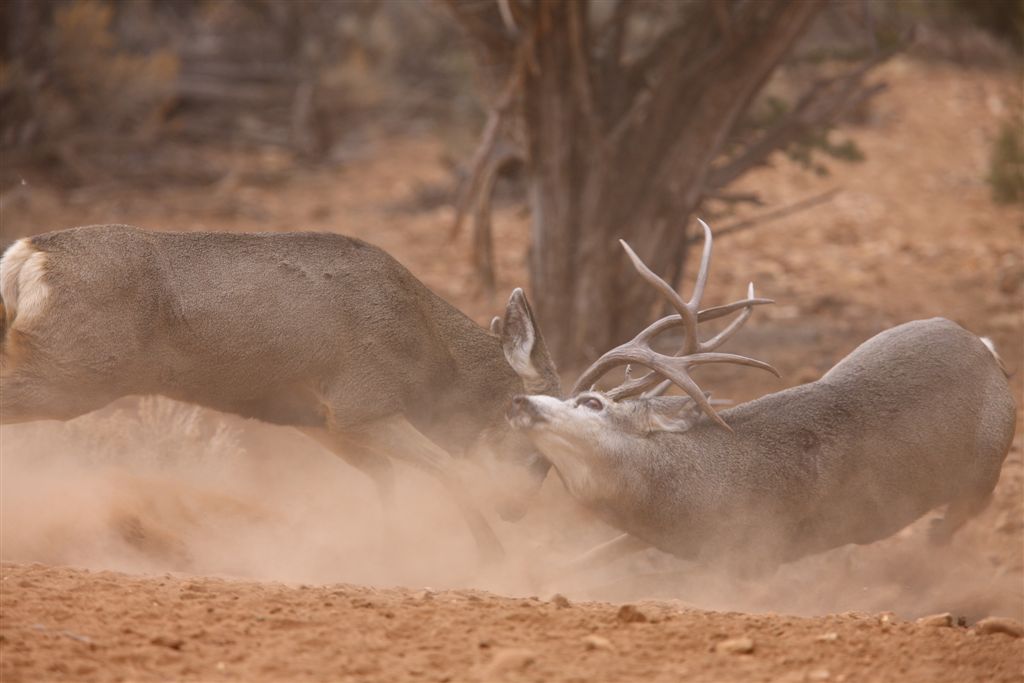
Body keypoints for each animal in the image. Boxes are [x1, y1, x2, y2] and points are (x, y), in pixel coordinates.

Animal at [0, 224, 561, 561]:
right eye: (540, 454)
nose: (515, 509)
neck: (430, 356)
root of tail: (28, 254)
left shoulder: (321, 417)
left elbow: (384, 477)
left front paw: (390, 553)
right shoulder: (365, 401)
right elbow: (447, 468)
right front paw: (492, 559)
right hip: (72, 370)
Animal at [512, 222, 1015, 573]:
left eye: (593, 403)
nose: (521, 403)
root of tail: (985, 347)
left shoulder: (756, 554)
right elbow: (590, 557)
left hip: (985, 469)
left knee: (957, 520)